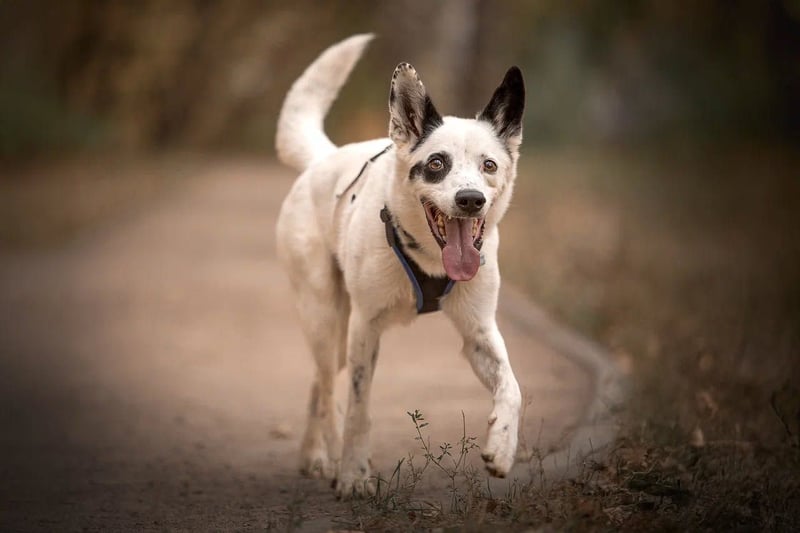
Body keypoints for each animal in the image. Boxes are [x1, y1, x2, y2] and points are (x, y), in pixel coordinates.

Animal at [275, 34, 524, 499]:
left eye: (489, 165)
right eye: (437, 163)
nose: (470, 200)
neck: (428, 258)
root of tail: (322, 160)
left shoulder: (479, 331)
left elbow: (512, 387)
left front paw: (501, 448)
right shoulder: (365, 328)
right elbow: (358, 409)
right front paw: (354, 475)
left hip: (336, 335)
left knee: (320, 382)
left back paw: (311, 456)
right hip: (327, 319)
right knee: (329, 388)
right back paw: (330, 456)